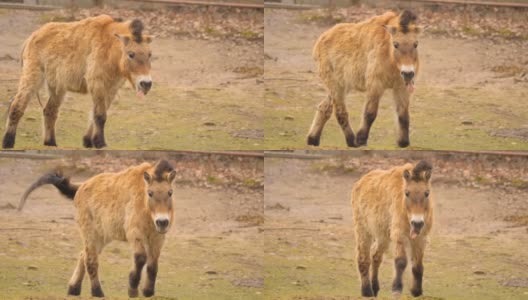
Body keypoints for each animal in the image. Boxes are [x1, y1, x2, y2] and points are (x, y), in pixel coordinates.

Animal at [2, 15, 153, 149]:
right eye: (131, 54)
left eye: (149, 54)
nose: (146, 84)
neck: (110, 48)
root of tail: (32, 36)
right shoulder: (97, 84)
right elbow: (100, 115)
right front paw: (100, 143)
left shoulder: (111, 89)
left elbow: (95, 114)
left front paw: (88, 141)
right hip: (32, 78)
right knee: (17, 106)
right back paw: (8, 142)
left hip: (57, 87)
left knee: (50, 111)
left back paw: (50, 143)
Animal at [18, 159, 175, 298]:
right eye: (150, 193)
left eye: (170, 192)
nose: (162, 222)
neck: (145, 207)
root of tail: (81, 187)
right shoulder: (134, 233)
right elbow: (141, 258)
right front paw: (132, 290)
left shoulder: (157, 237)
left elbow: (153, 264)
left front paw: (148, 292)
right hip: (91, 233)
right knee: (90, 260)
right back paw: (97, 293)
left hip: (101, 236)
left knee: (83, 254)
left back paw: (73, 289)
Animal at [310, 10, 424, 148]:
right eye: (396, 44)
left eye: (416, 44)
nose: (408, 73)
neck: (389, 57)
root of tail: (321, 40)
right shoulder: (375, 85)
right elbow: (370, 113)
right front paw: (361, 140)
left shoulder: (401, 88)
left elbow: (403, 115)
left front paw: (403, 142)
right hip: (335, 86)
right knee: (340, 113)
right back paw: (351, 141)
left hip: (341, 86)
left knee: (324, 108)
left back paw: (312, 140)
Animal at [350, 161, 434, 296]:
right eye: (407, 193)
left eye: (427, 193)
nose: (417, 223)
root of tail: (361, 181)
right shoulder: (400, 235)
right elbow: (401, 261)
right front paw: (396, 289)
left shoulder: (421, 237)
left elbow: (418, 265)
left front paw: (416, 291)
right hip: (363, 230)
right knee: (363, 258)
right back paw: (367, 291)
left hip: (383, 236)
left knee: (376, 256)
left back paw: (375, 288)